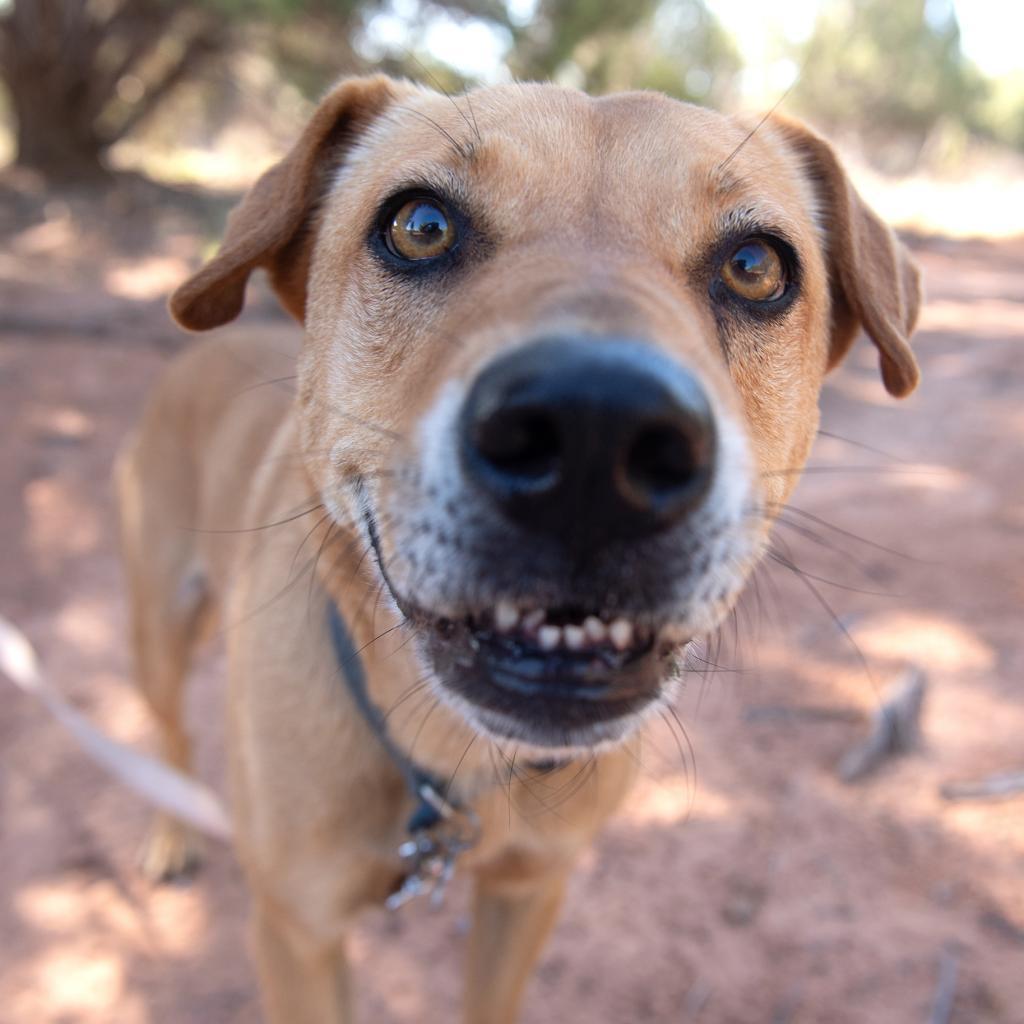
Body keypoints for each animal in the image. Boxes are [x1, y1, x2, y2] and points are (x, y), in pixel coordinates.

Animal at [116, 74, 925, 1024]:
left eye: (756, 267)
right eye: (420, 225)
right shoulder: (297, 933)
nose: (596, 436)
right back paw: (172, 834)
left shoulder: (528, 892)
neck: (450, 765)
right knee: (168, 730)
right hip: (159, 628)